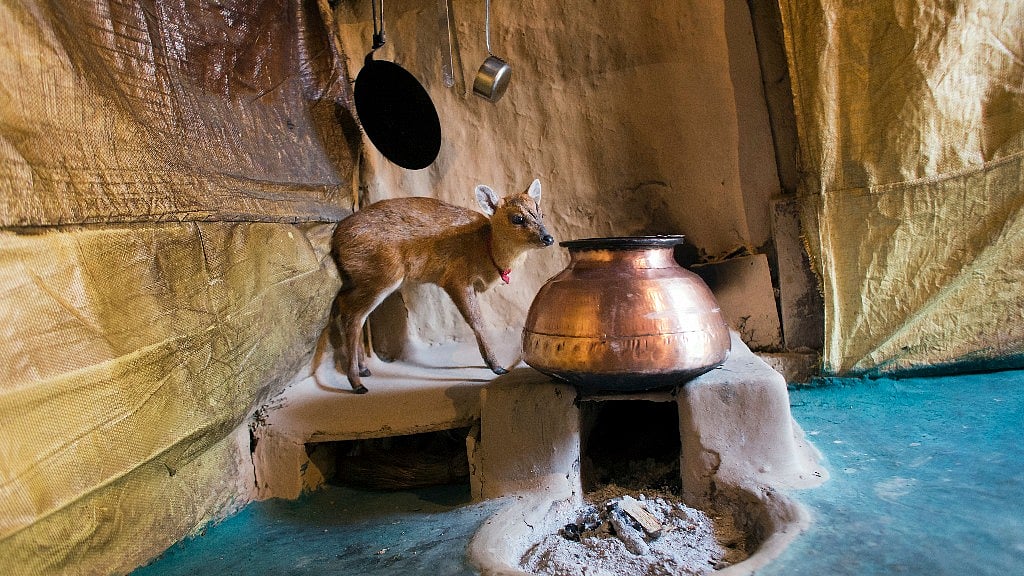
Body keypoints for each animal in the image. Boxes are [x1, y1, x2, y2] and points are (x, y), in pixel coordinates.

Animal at [312, 178, 555, 393]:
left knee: (346, 306)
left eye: (541, 214)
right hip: (382, 274)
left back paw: (363, 369)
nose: (548, 238)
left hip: (363, 279)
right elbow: (477, 322)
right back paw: (357, 383)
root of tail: (336, 238)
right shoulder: (455, 278)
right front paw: (496, 366)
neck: (485, 249)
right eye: (517, 218)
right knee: (352, 315)